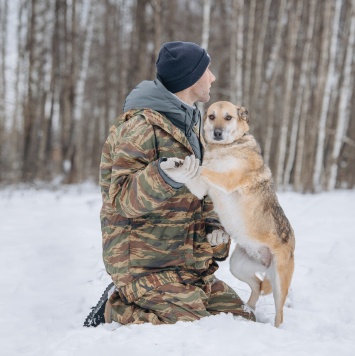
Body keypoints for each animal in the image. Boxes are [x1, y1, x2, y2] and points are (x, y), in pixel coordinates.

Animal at [185, 101, 296, 326]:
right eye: (212, 116)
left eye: (228, 117)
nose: (217, 133)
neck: (225, 148)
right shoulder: (203, 187)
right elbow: (201, 172)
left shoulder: (227, 179)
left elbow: (203, 169)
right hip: (238, 266)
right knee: (258, 285)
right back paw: (248, 309)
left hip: (279, 284)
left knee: (278, 313)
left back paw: (273, 327)